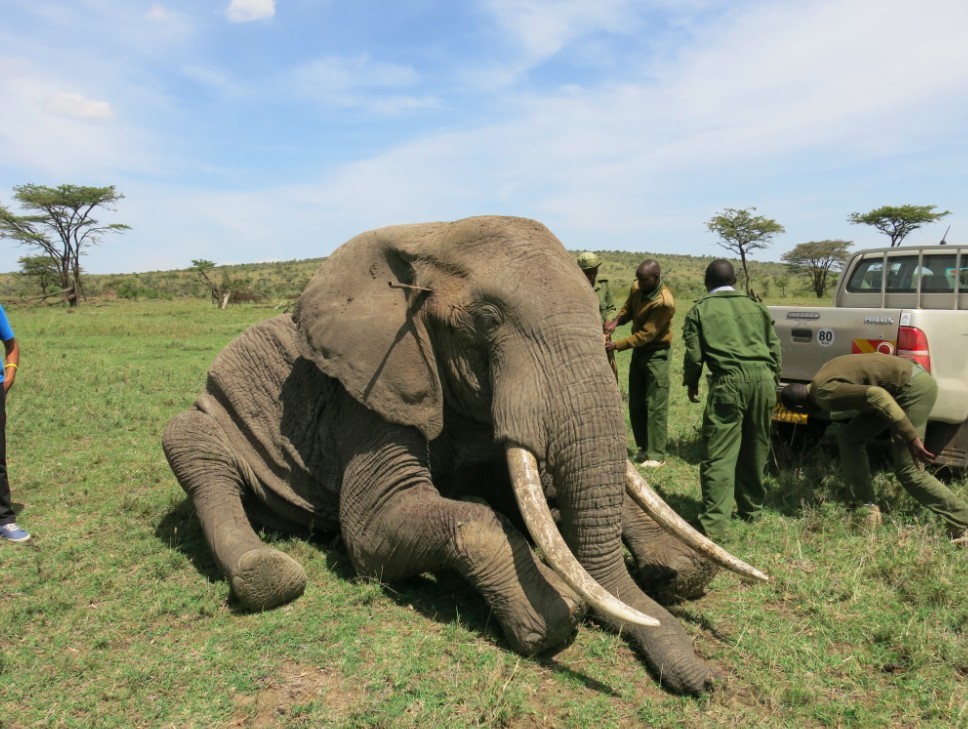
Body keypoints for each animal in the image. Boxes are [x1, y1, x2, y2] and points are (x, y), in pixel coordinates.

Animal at [162, 215, 768, 695]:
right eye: (487, 319)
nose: (707, 682)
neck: (428, 235)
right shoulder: (371, 388)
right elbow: (378, 530)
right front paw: (555, 610)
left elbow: (530, 491)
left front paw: (679, 571)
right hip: (210, 412)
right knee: (197, 455)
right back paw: (267, 573)